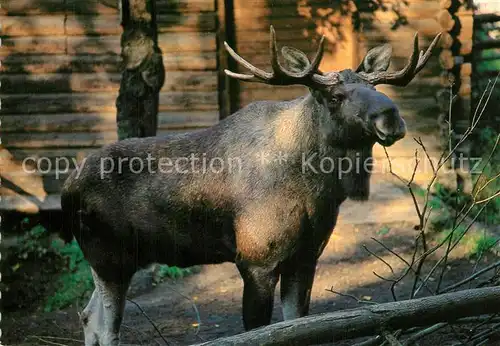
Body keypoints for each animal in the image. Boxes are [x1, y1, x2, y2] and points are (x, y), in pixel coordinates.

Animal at [57, 27, 442, 346]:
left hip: (113, 262)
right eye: (335, 96)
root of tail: (67, 190)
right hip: (108, 258)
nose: (390, 116)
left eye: (375, 88)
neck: (316, 191)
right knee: (106, 328)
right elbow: (260, 330)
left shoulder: (306, 256)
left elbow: (297, 326)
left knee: (88, 316)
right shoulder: (257, 260)